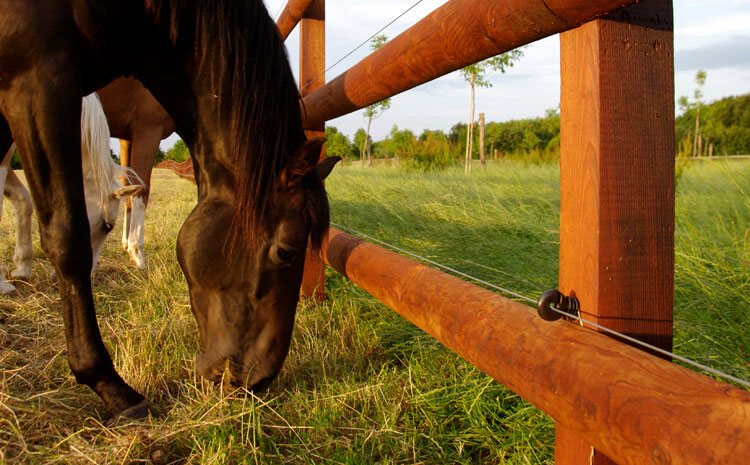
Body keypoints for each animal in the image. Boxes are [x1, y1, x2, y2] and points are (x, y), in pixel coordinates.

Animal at [97, 76, 178, 268]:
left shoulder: (126, 138)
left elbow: (128, 189)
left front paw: (127, 244)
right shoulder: (148, 130)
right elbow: (141, 190)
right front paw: (137, 253)